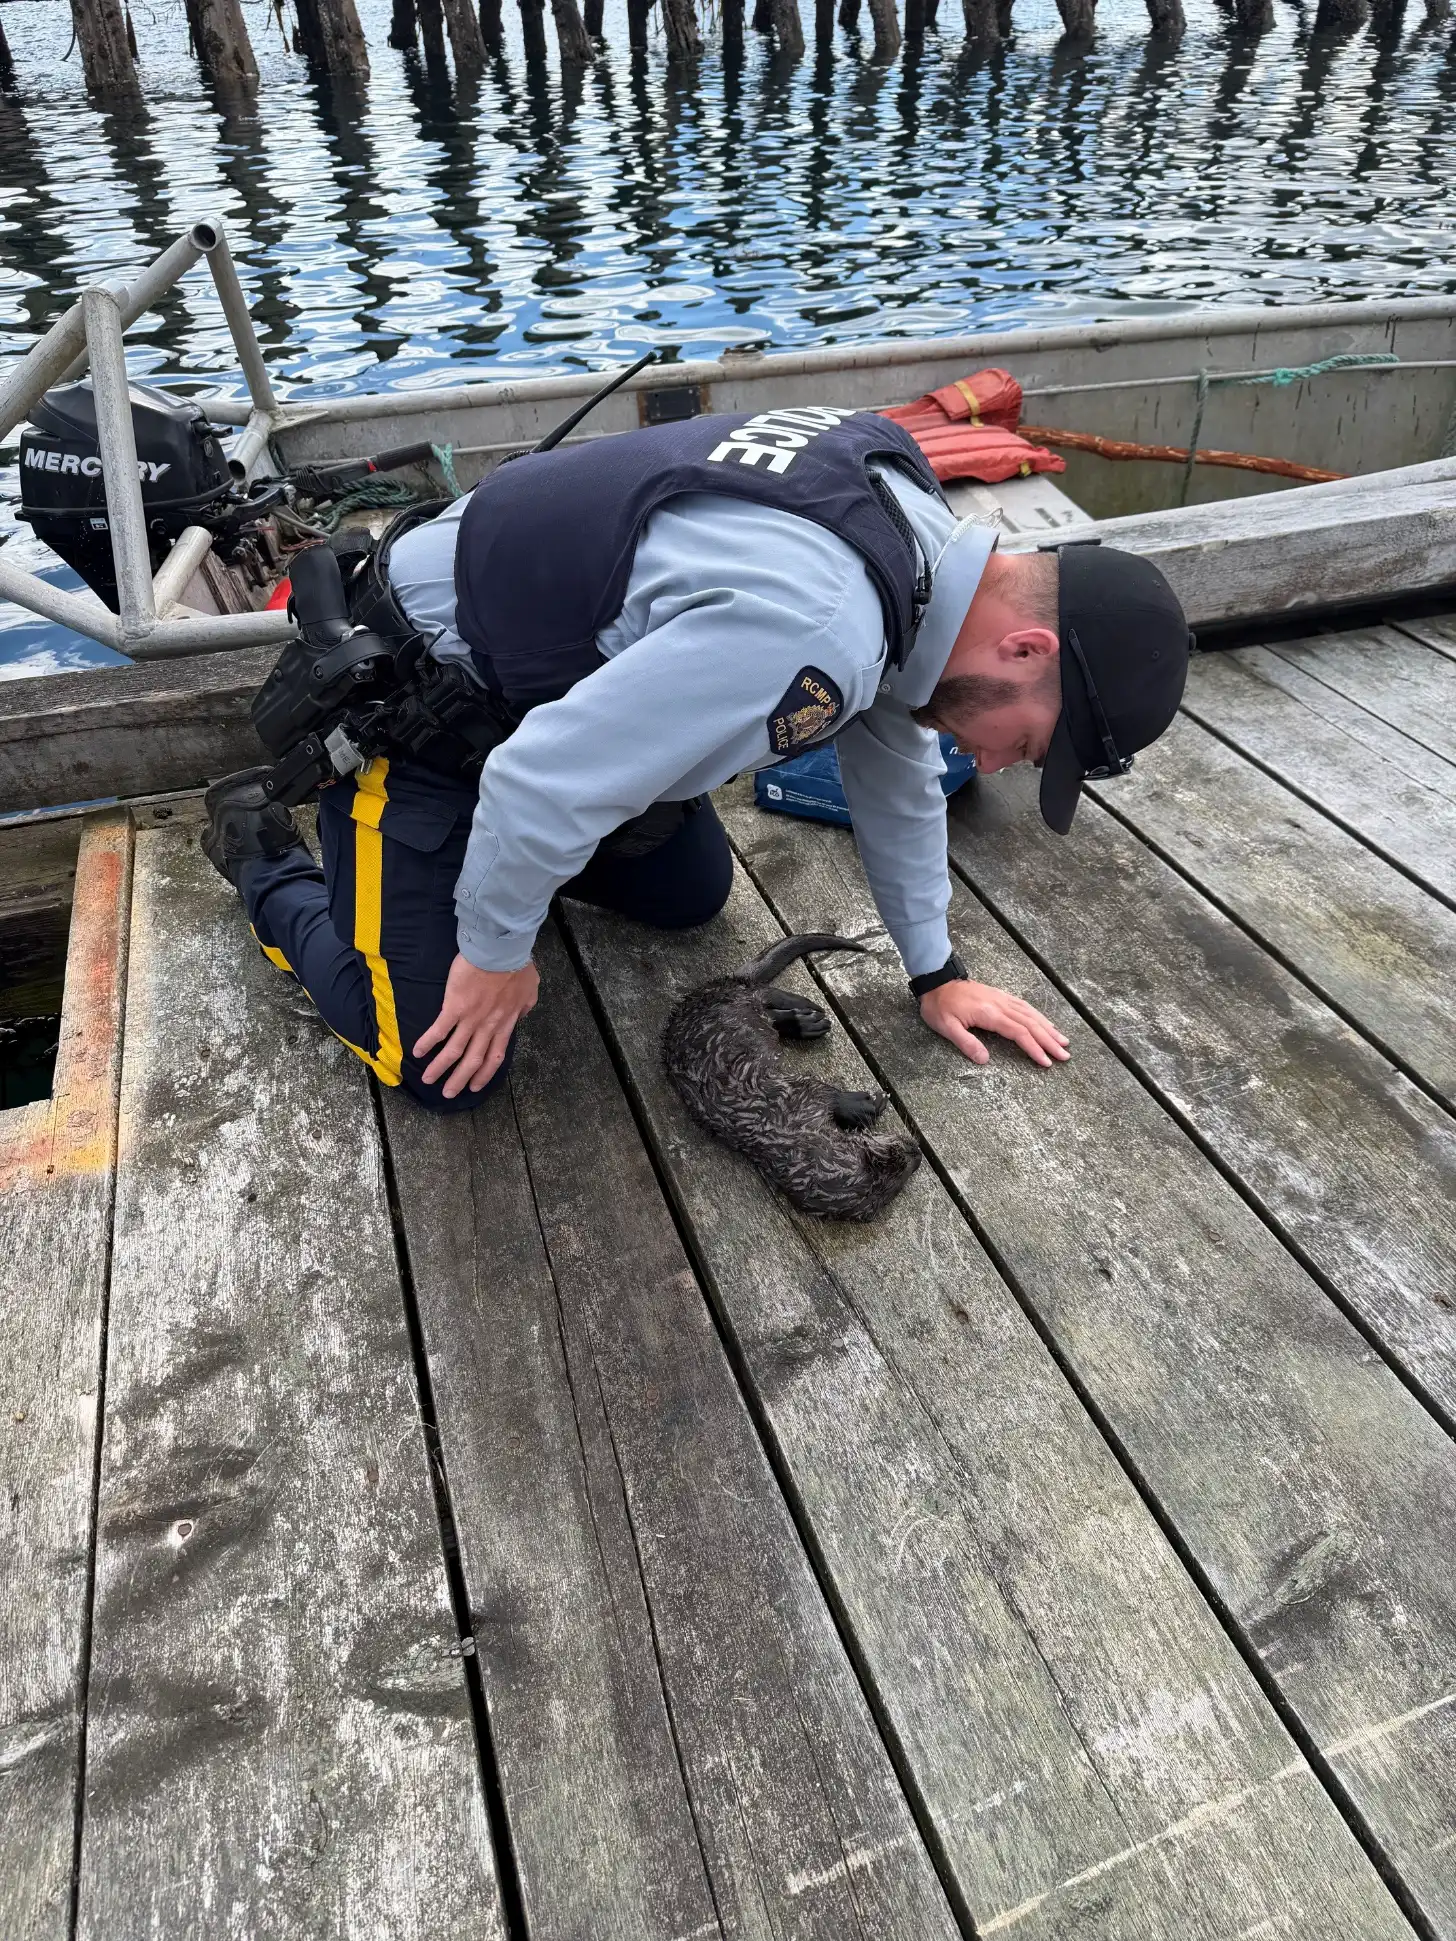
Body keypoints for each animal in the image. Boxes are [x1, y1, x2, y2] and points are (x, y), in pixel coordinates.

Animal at [661, 933, 921, 1222]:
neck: (786, 1130)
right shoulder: (804, 1094)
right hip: (737, 1001)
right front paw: (869, 1103)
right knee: (765, 994)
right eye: (897, 1157)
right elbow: (829, 1093)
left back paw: (806, 1019)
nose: (918, 1153)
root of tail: (711, 989)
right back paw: (807, 1012)